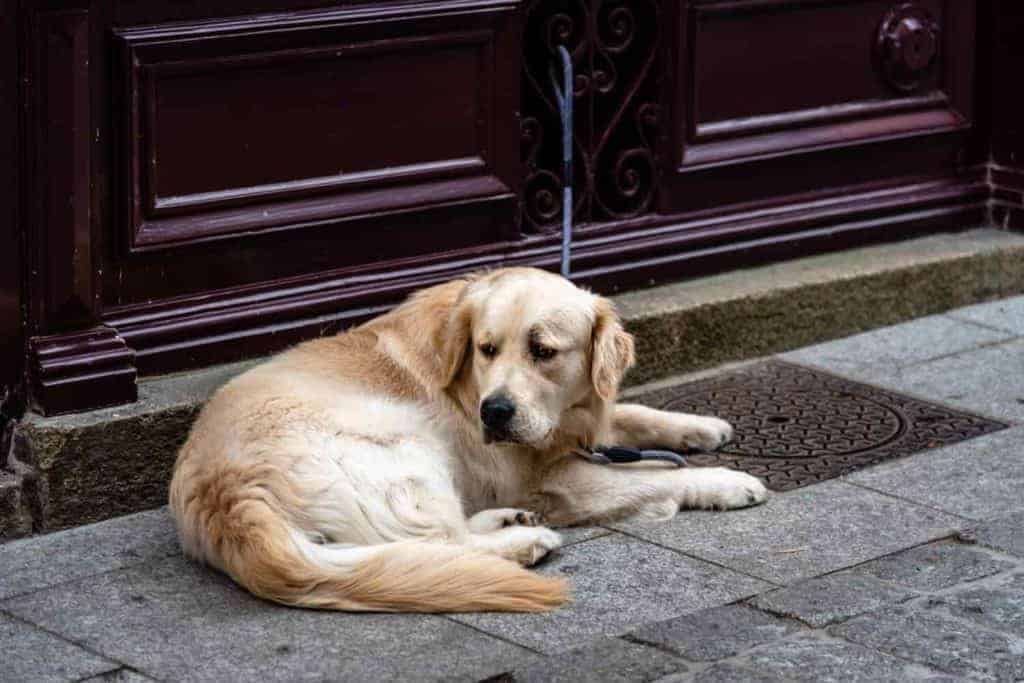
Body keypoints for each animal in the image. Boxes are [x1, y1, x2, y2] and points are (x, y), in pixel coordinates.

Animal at [167, 266, 765, 614]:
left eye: (543, 351)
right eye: (487, 348)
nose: (494, 412)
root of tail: (228, 500)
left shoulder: (575, 424)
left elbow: (631, 414)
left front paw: (699, 426)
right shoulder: (555, 480)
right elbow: (658, 477)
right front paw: (726, 480)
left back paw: (506, 522)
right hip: (404, 446)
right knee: (440, 543)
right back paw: (524, 540)